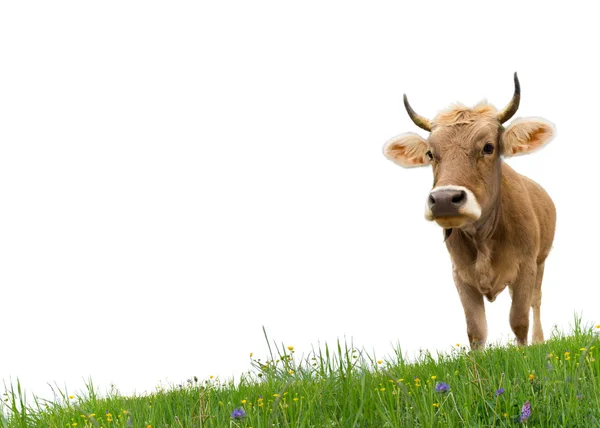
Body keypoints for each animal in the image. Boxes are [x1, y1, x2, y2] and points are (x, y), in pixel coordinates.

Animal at [384, 72, 556, 348]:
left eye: (488, 147)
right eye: (430, 153)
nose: (444, 199)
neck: (483, 237)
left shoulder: (527, 266)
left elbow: (519, 320)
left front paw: (525, 353)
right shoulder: (461, 275)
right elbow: (475, 330)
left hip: (541, 261)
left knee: (535, 301)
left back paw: (539, 340)